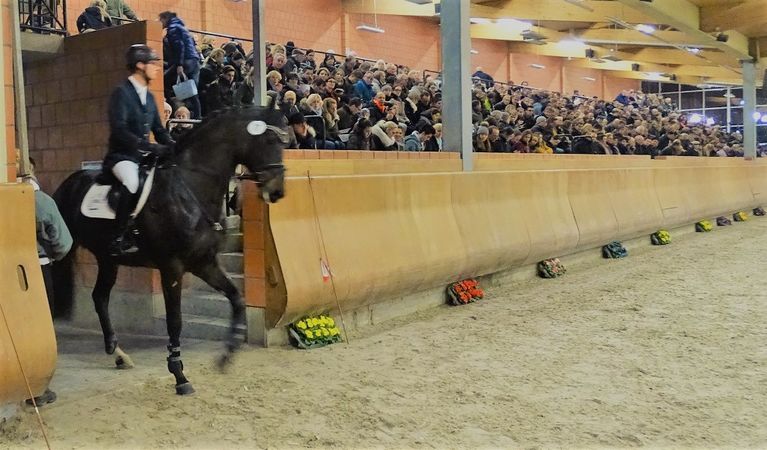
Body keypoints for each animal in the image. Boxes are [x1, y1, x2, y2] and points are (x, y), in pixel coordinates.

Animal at [53, 105, 288, 394]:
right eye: (269, 140)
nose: (276, 192)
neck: (190, 188)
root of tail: (67, 184)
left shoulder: (205, 263)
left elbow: (237, 298)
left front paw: (227, 354)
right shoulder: (172, 268)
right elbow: (175, 320)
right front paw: (179, 375)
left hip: (108, 259)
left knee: (100, 298)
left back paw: (119, 354)